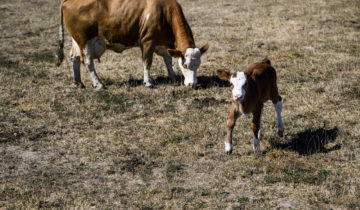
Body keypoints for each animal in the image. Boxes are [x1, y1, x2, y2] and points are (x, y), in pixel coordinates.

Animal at [54, 0, 210, 89]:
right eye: (185, 65)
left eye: (198, 65)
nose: (193, 84)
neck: (164, 11)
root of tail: (68, 0)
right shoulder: (147, 42)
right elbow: (147, 62)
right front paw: (148, 82)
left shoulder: (164, 44)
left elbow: (168, 60)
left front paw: (172, 76)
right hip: (85, 41)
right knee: (87, 62)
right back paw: (98, 84)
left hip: (76, 41)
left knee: (74, 58)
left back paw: (78, 82)